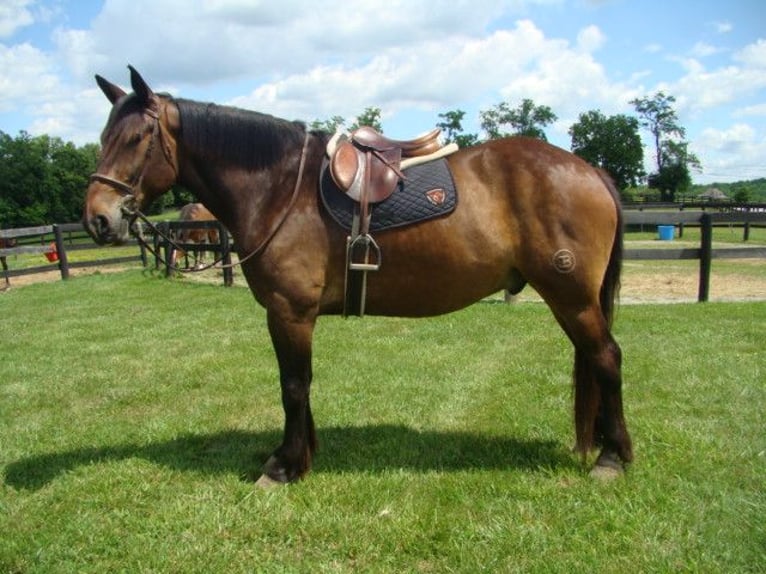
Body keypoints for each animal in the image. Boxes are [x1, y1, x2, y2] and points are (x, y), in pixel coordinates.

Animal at [84, 68, 636, 490]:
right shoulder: (292, 316)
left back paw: (613, 458)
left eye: (135, 139)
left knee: (607, 358)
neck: (280, 189)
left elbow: (293, 385)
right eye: (103, 138)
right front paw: (302, 454)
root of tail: (589, 171)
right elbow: (300, 384)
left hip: (572, 298)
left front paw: (284, 467)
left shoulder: (289, 313)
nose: (98, 220)